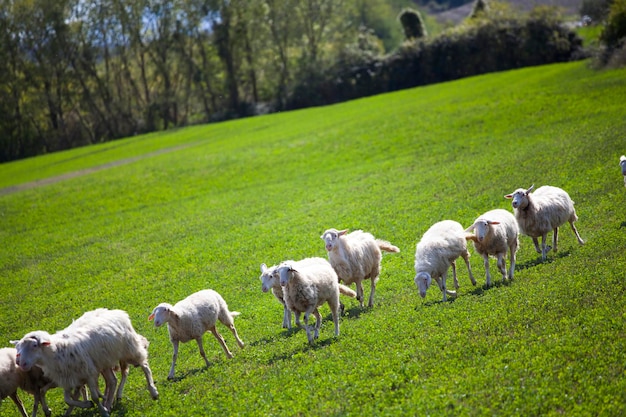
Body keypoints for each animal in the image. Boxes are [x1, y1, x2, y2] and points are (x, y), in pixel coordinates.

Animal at [11, 308, 158, 416]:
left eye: (34, 345)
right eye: (18, 349)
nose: (21, 364)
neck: (56, 352)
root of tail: (117, 312)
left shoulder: (89, 373)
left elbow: (94, 396)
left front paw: (103, 411)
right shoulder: (69, 379)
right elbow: (68, 399)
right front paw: (89, 405)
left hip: (129, 349)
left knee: (145, 365)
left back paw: (153, 391)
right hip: (104, 362)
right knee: (112, 381)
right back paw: (108, 403)